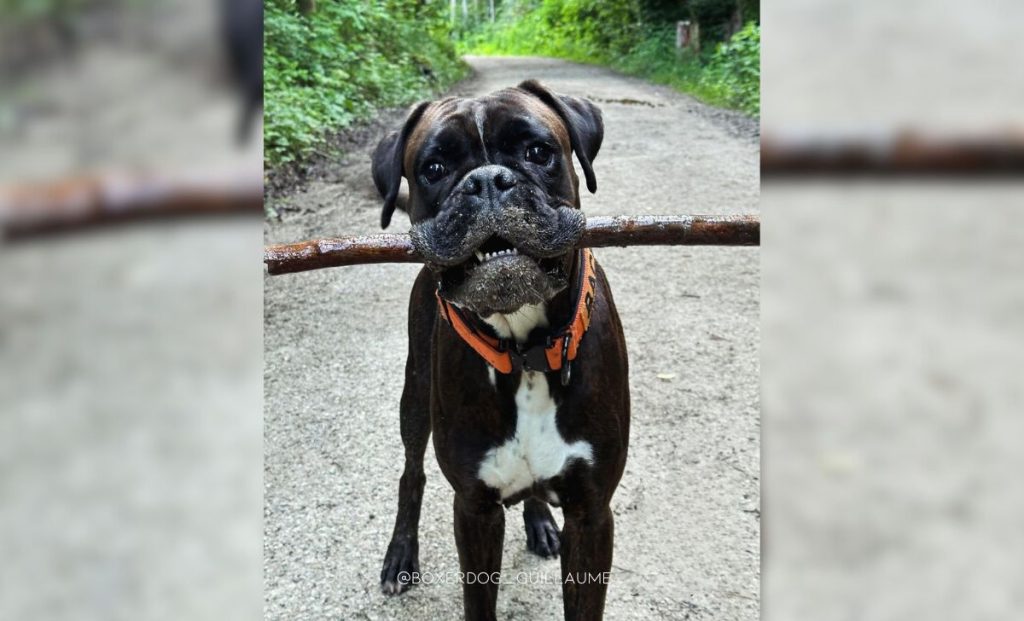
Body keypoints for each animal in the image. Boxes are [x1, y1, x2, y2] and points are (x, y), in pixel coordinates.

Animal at [372, 80, 626, 618]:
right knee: (411, 474)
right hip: (414, 397)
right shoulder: (475, 509)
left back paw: (540, 522)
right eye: (434, 169)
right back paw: (401, 554)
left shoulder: (592, 514)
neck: (525, 350)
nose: (488, 180)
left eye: (538, 152)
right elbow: (479, 600)